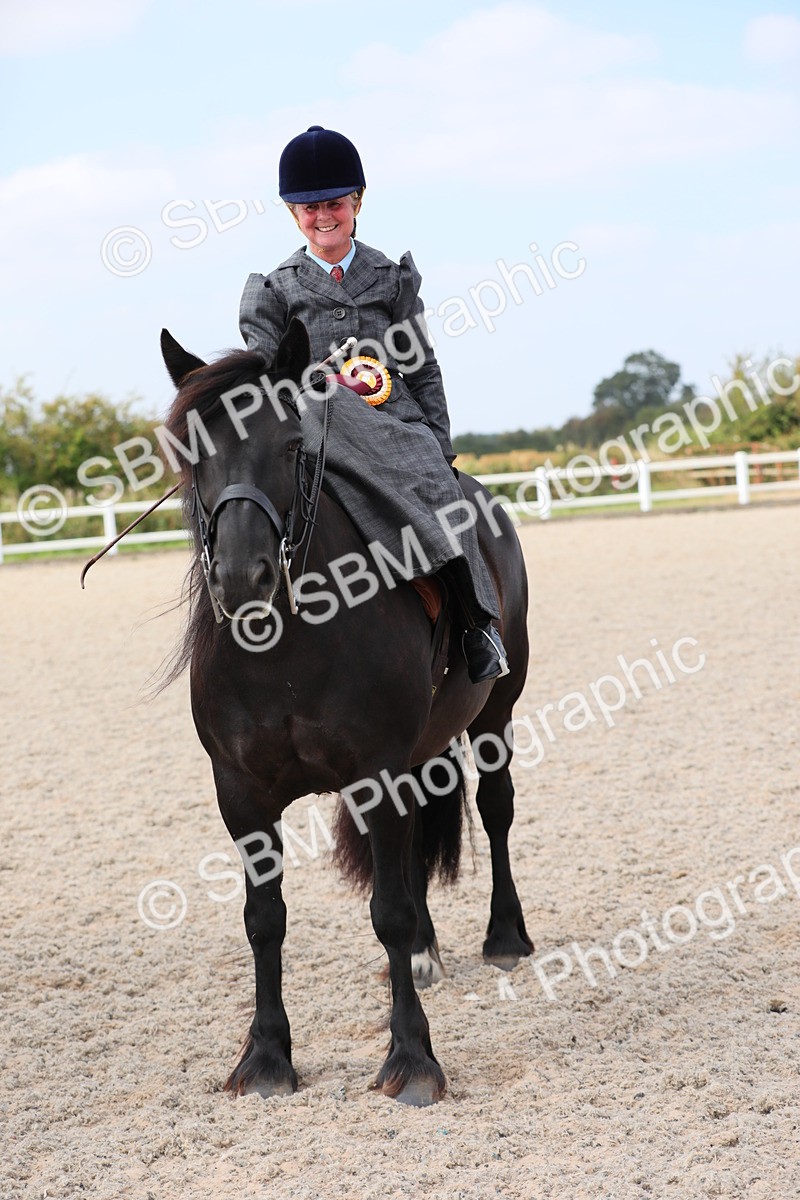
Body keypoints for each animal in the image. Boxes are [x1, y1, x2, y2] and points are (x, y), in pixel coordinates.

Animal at [159, 318, 533, 1106]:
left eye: (291, 444)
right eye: (194, 453)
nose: (241, 578)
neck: (284, 649)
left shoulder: (375, 776)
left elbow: (386, 911)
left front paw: (413, 1060)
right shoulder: (241, 793)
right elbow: (264, 920)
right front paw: (266, 1058)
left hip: (496, 713)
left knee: (496, 808)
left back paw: (506, 937)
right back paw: (425, 953)